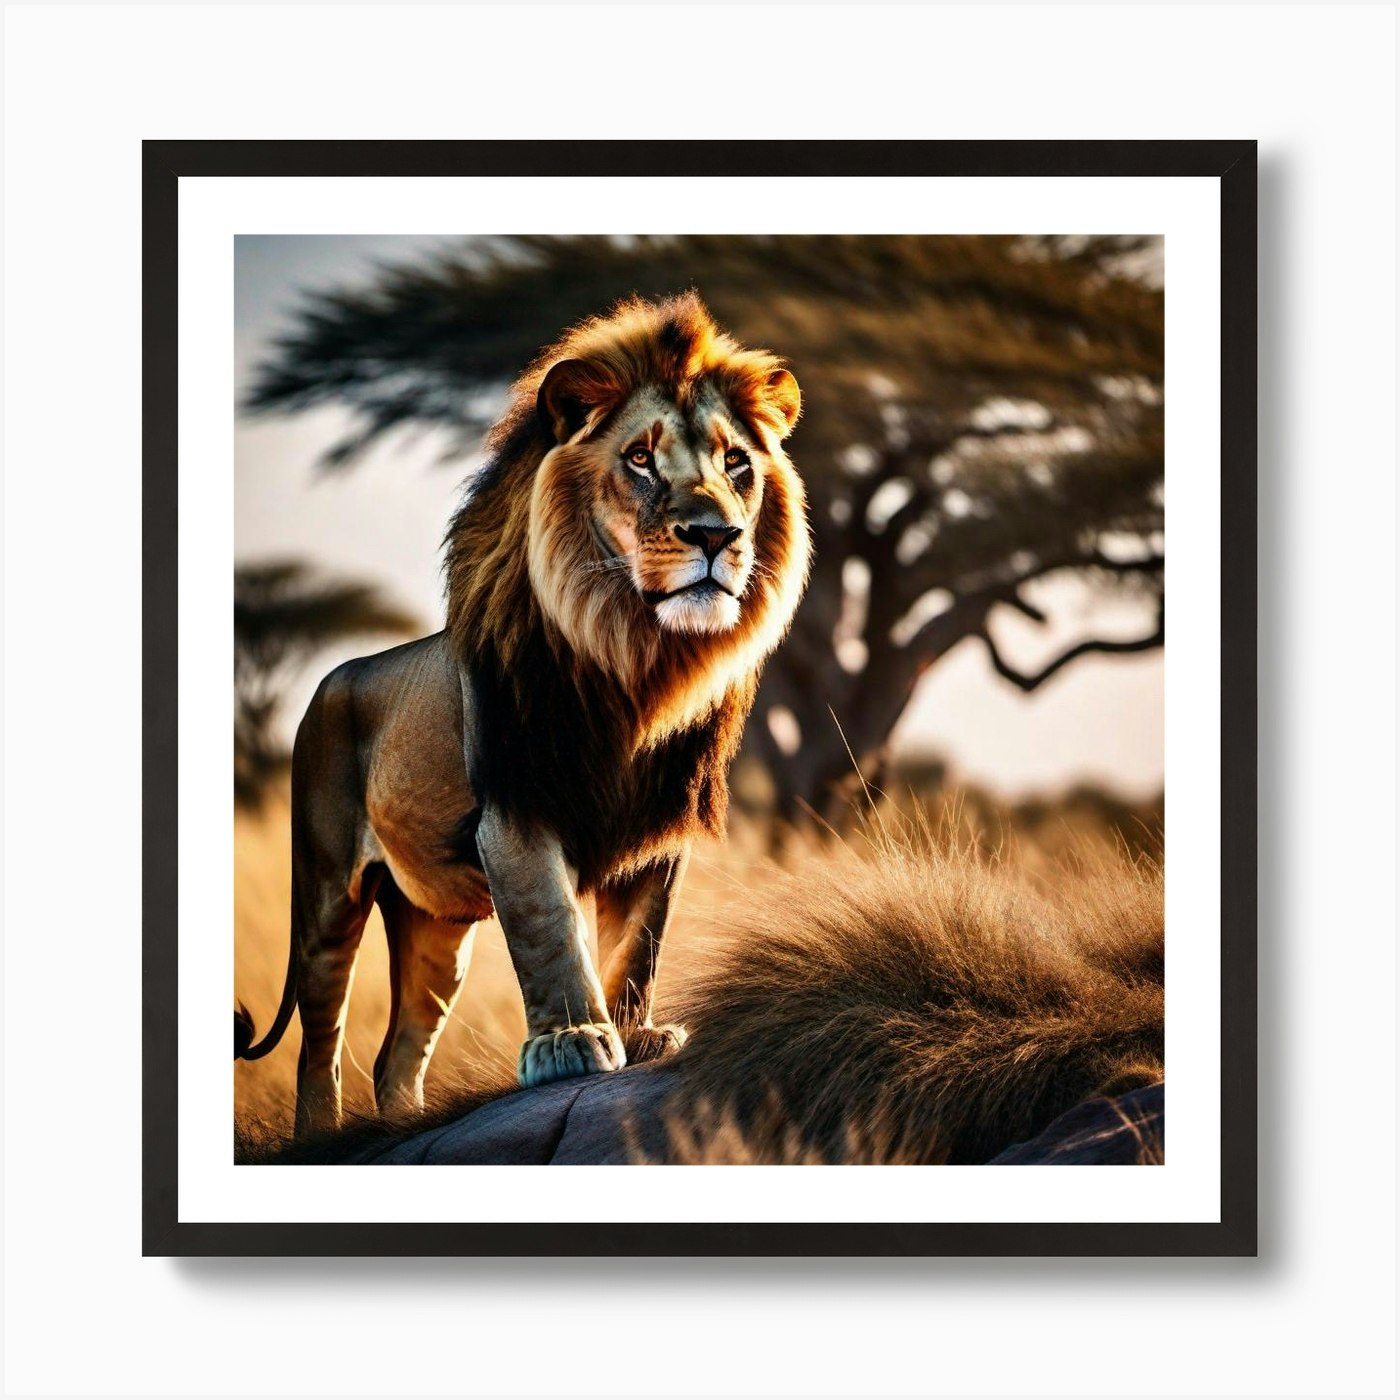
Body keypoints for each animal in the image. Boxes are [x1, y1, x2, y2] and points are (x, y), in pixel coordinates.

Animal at [234, 293, 810, 1139]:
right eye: (641, 459)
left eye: (736, 463)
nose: (716, 535)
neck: (636, 662)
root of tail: (331, 680)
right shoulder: (517, 807)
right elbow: (550, 928)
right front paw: (574, 1041)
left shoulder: (657, 829)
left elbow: (639, 941)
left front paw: (637, 1033)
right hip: (328, 893)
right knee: (322, 1041)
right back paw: (325, 1134)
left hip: (435, 926)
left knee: (397, 1053)